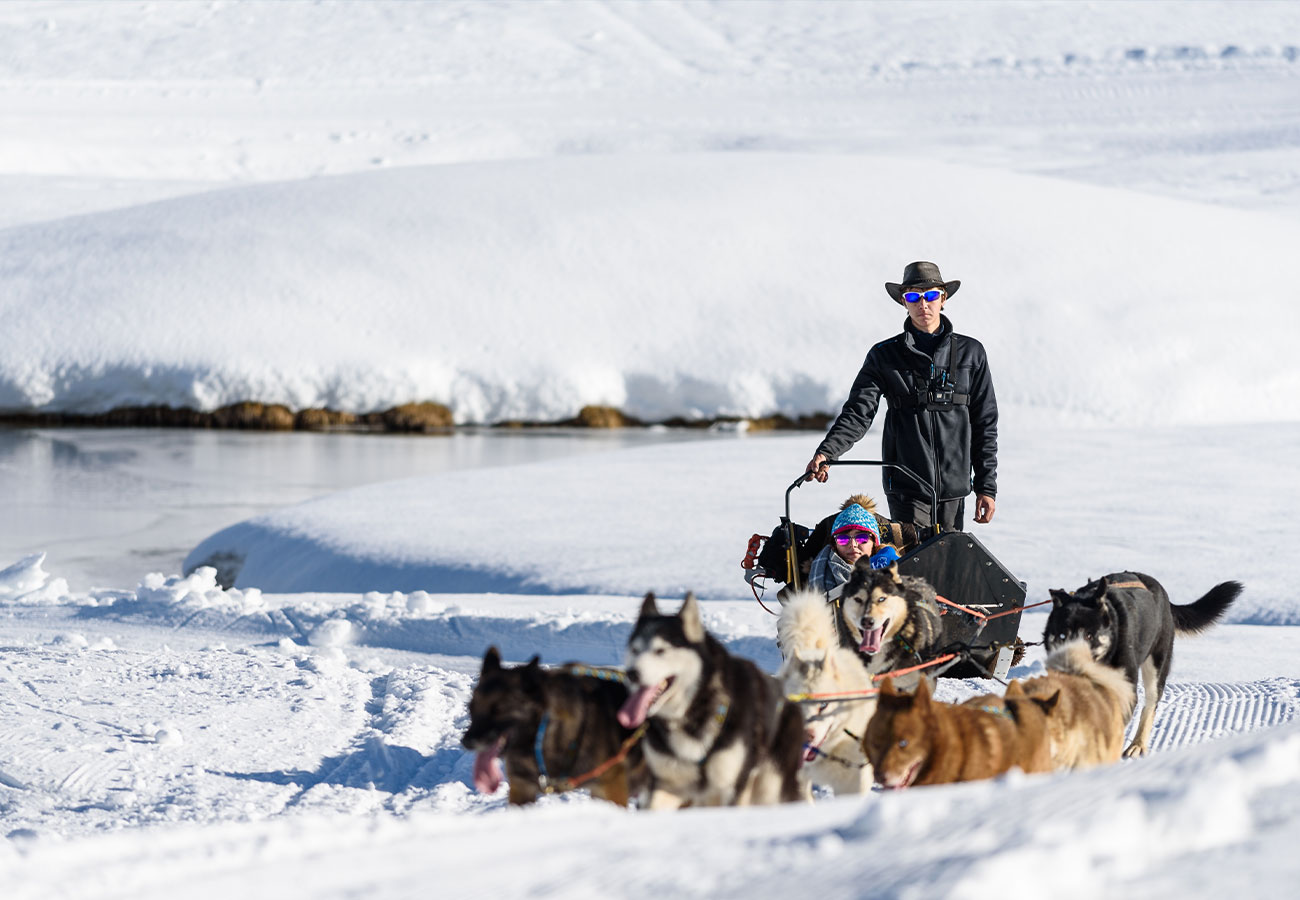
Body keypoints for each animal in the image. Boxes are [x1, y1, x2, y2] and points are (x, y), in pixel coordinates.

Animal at [618, 590, 811, 806]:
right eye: (635, 650)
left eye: (661, 650)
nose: (632, 673)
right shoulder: (665, 785)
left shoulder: (730, 789)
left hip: (770, 788)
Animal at [1040, 572, 1242, 754]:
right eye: (1062, 636)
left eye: (1089, 636)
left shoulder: (1126, 691)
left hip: (1156, 668)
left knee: (1150, 706)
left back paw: (1137, 744)